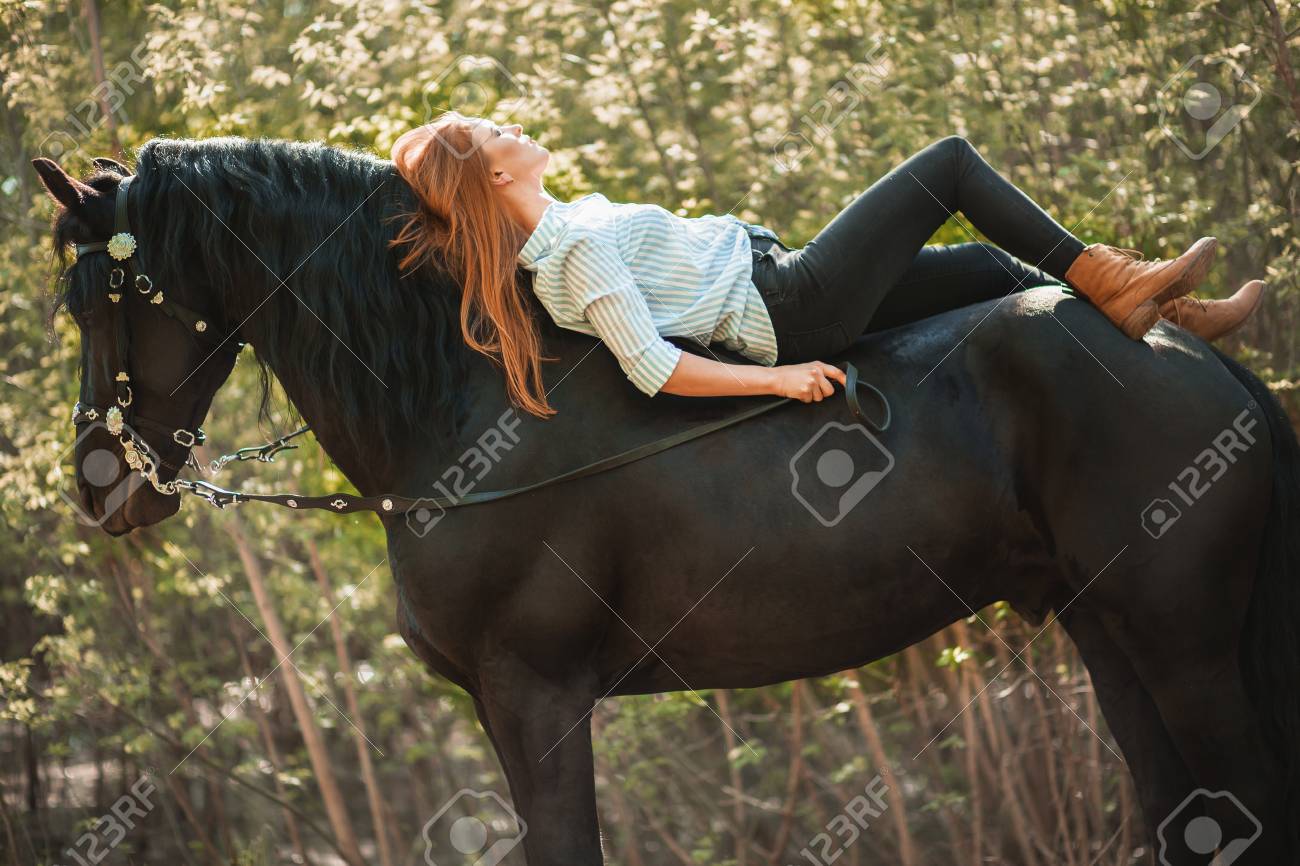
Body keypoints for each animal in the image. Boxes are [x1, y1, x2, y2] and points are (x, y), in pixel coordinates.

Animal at [32, 138, 1300, 858]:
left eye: (111, 289)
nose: (101, 486)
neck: (467, 406)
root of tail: (1190, 357)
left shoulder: (536, 697)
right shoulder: (511, 706)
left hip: (1182, 643)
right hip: (1111, 634)